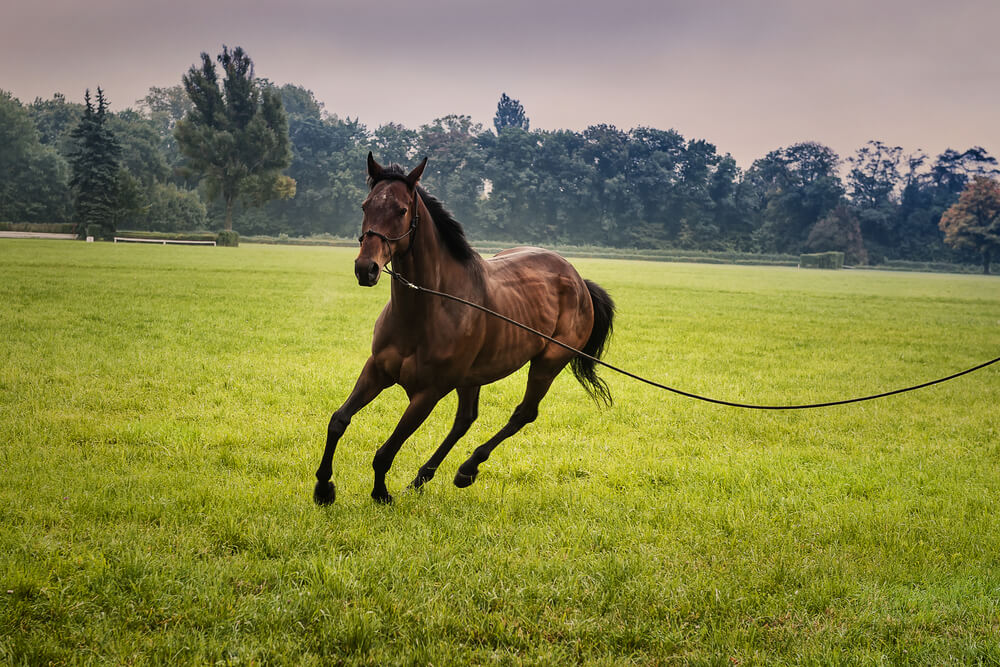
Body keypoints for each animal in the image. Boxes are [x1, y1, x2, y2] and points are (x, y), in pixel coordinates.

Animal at [316, 154, 616, 504]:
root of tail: (578, 280)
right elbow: (338, 420)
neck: (427, 309)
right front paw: (323, 487)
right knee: (465, 420)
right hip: (473, 376)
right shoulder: (377, 370)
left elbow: (387, 450)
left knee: (523, 413)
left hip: (547, 364)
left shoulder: (428, 393)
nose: (366, 268)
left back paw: (467, 469)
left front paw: (381, 493)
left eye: (401, 210)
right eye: (365, 206)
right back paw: (422, 478)